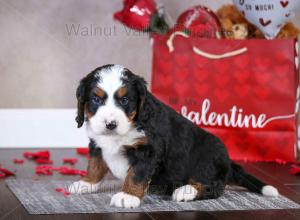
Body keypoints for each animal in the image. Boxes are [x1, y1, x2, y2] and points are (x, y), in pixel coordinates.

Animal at [68, 64, 278, 208]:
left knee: (215, 186)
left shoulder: (148, 151)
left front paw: (128, 196)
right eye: (96, 99)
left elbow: (136, 174)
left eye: (125, 100)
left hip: (206, 160)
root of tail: (228, 161)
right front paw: (86, 183)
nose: (110, 124)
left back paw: (186, 191)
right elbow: (95, 165)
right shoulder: (97, 144)